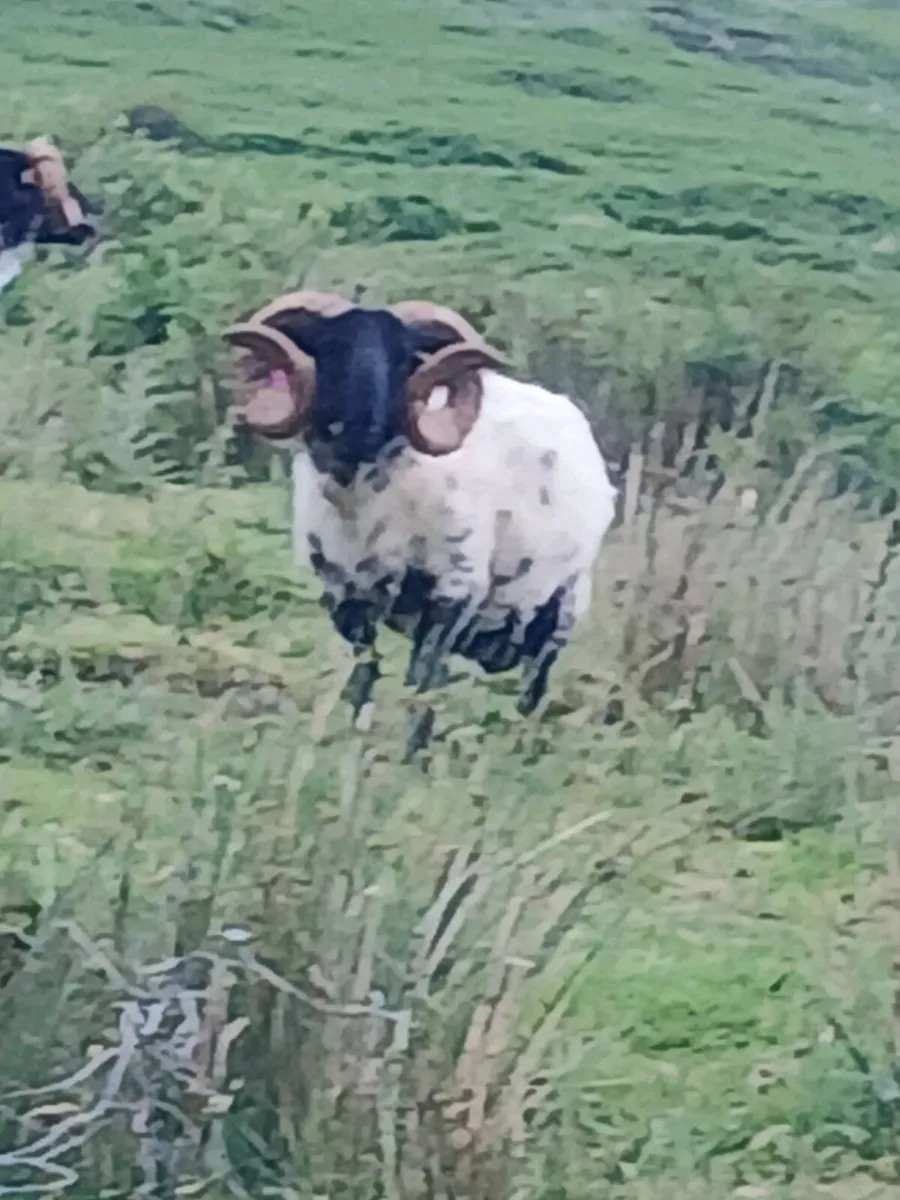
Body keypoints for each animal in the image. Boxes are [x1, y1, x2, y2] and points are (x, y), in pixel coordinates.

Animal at [221, 290, 617, 753]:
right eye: (326, 346)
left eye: (405, 357)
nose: (362, 427)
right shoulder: (345, 597)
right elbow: (366, 678)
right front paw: (358, 745)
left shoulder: (453, 594)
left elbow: (420, 687)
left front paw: (409, 760)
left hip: (559, 611)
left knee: (531, 692)